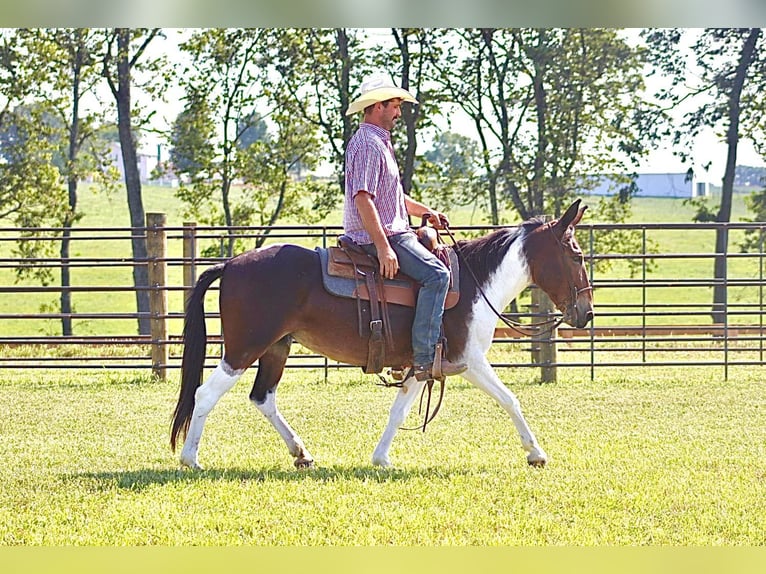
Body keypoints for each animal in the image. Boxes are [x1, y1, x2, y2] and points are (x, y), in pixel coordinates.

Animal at [170, 199, 593, 470]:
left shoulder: (423, 364)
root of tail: (231, 264)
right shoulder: (469, 360)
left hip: (276, 348)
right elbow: (510, 400)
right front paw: (536, 453)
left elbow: (399, 409)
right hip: (244, 348)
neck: (476, 283)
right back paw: (191, 459)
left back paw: (301, 453)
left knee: (263, 398)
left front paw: (381, 458)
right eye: (575, 254)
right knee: (205, 394)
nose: (586, 313)